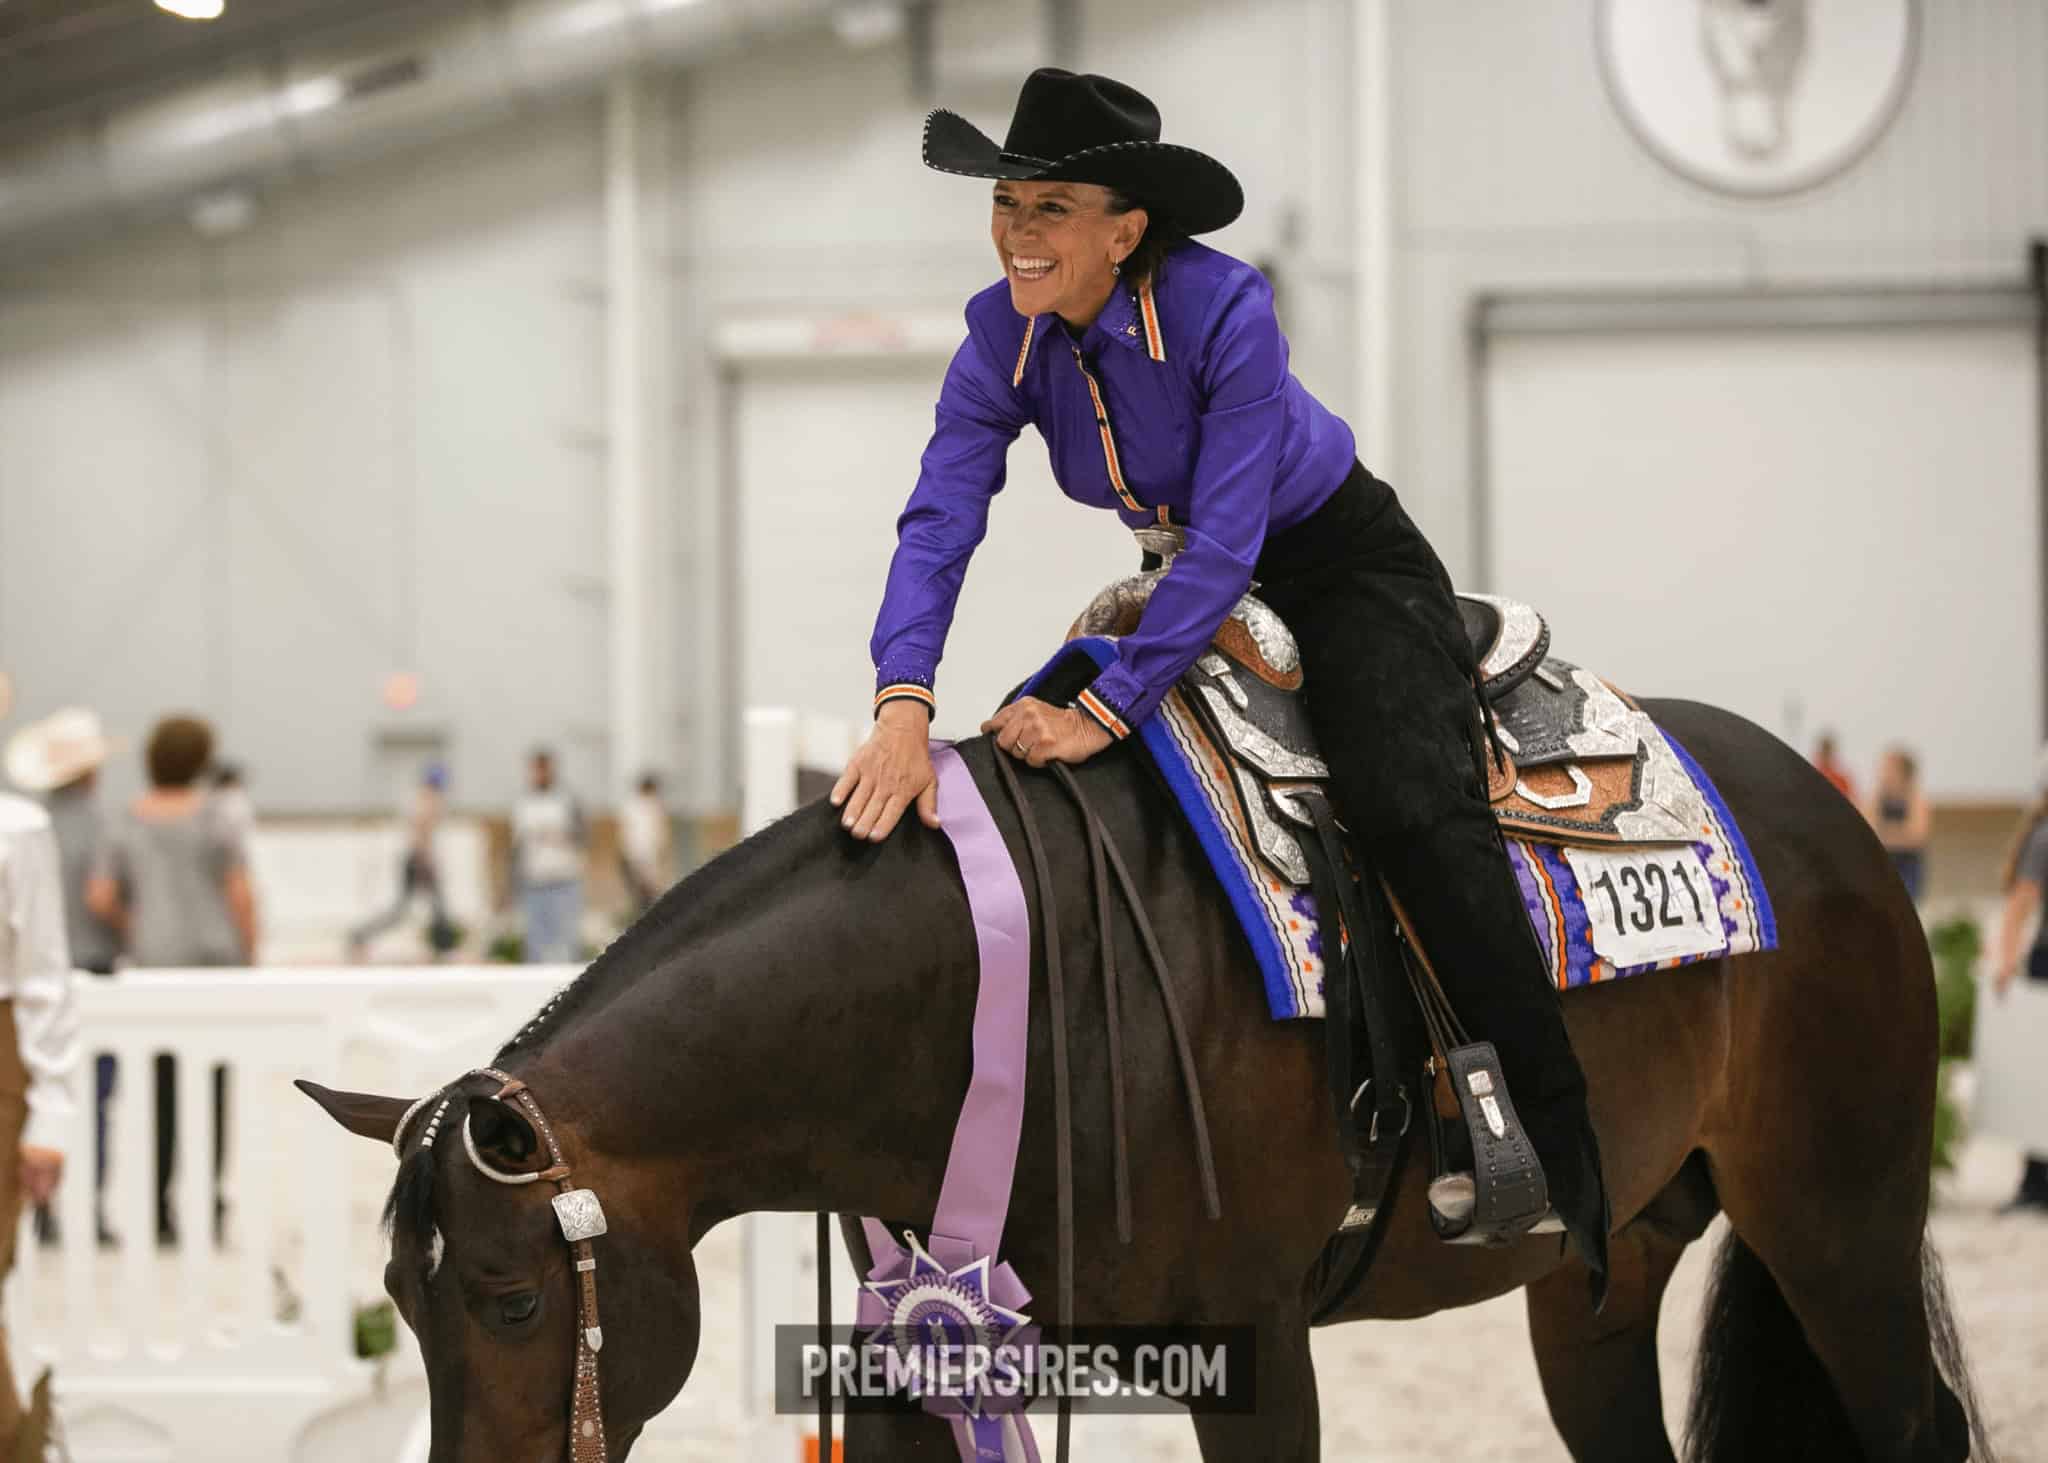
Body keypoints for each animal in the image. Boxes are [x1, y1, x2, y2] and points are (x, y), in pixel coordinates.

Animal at [300, 696, 1989, 1462]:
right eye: (405, 1301)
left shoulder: (1255, 1347)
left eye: (513, 1294)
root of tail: (1833, 819)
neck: (1001, 1000)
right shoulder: (918, 1365)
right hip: (1605, 1270)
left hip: (1836, 1226)